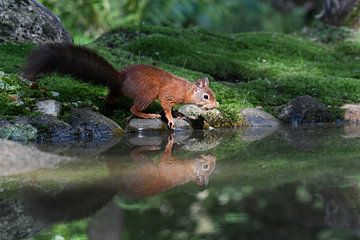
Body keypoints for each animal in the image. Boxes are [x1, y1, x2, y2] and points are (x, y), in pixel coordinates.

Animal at [23, 43, 219, 128]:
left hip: (121, 91)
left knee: (111, 96)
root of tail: (121, 79)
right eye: (206, 96)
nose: (214, 105)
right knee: (133, 108)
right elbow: (166, 105)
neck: (186, 90)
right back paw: (148, 115)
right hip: (148, 91)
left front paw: (178, 113)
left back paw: (110, 104)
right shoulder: (167, 94)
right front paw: (171, 118)